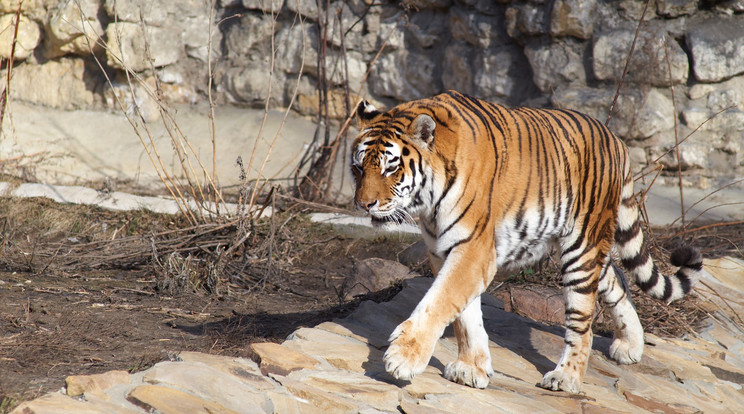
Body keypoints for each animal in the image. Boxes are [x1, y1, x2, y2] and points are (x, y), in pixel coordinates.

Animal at [352, 90, 700, 392]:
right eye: (357, 168)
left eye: (391, 169)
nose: (364, 204)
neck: (428, 203)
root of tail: (615, 138)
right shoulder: (444, 250)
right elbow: (464, 315)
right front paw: (472, 368)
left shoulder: (473, 248)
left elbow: (438, 302)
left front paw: (403, 358)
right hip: (586, 248)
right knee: (618, 281)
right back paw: (630, 345)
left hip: (581, 247)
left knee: (583, 322)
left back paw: (566, 378)